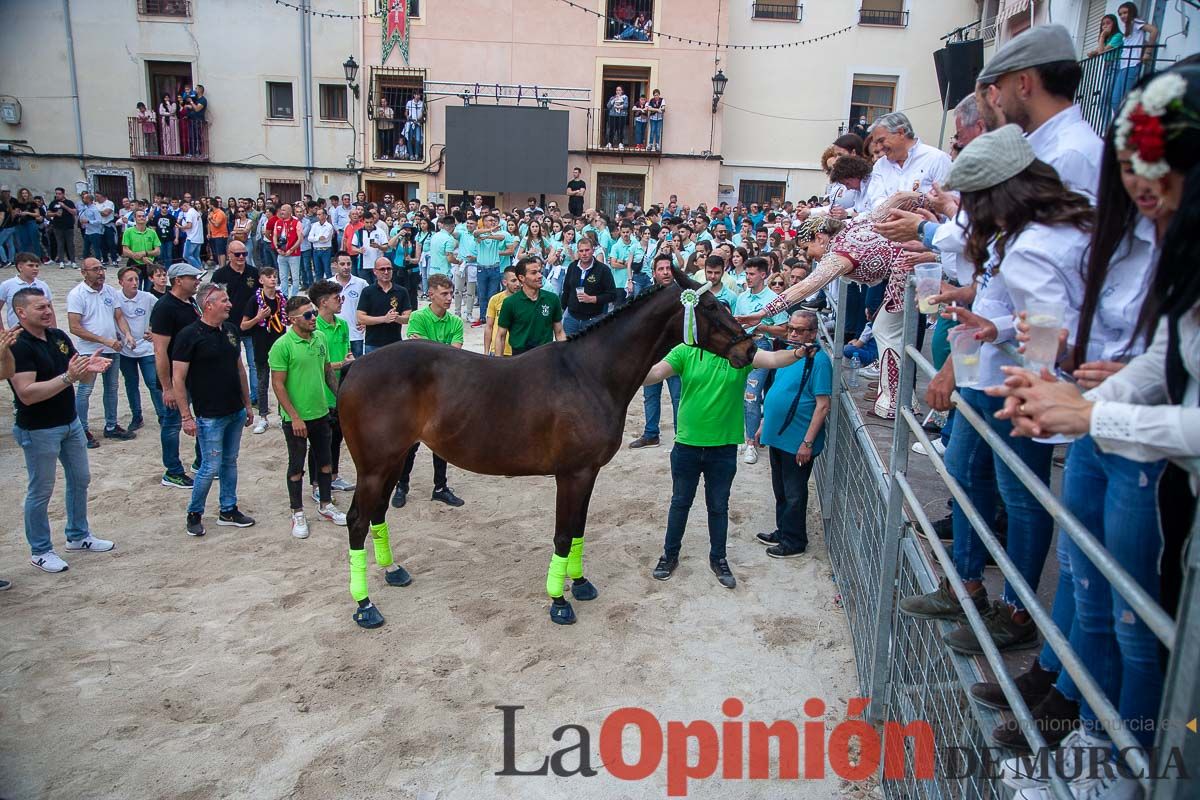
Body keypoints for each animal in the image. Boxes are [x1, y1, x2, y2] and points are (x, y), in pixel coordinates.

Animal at [333, 271, 753, 633]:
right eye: (711, 306)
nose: (749, 349)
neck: (590, 373)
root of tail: (355, 366)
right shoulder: (572, 474)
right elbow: (563, 535)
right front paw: (559, 602)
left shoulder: (588, 473)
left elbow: (578, 529)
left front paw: (580, 584)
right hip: (373, 468)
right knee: (357, 521)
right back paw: (365, 606)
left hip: (393, 460)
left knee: (378, 514)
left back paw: (393, 571)